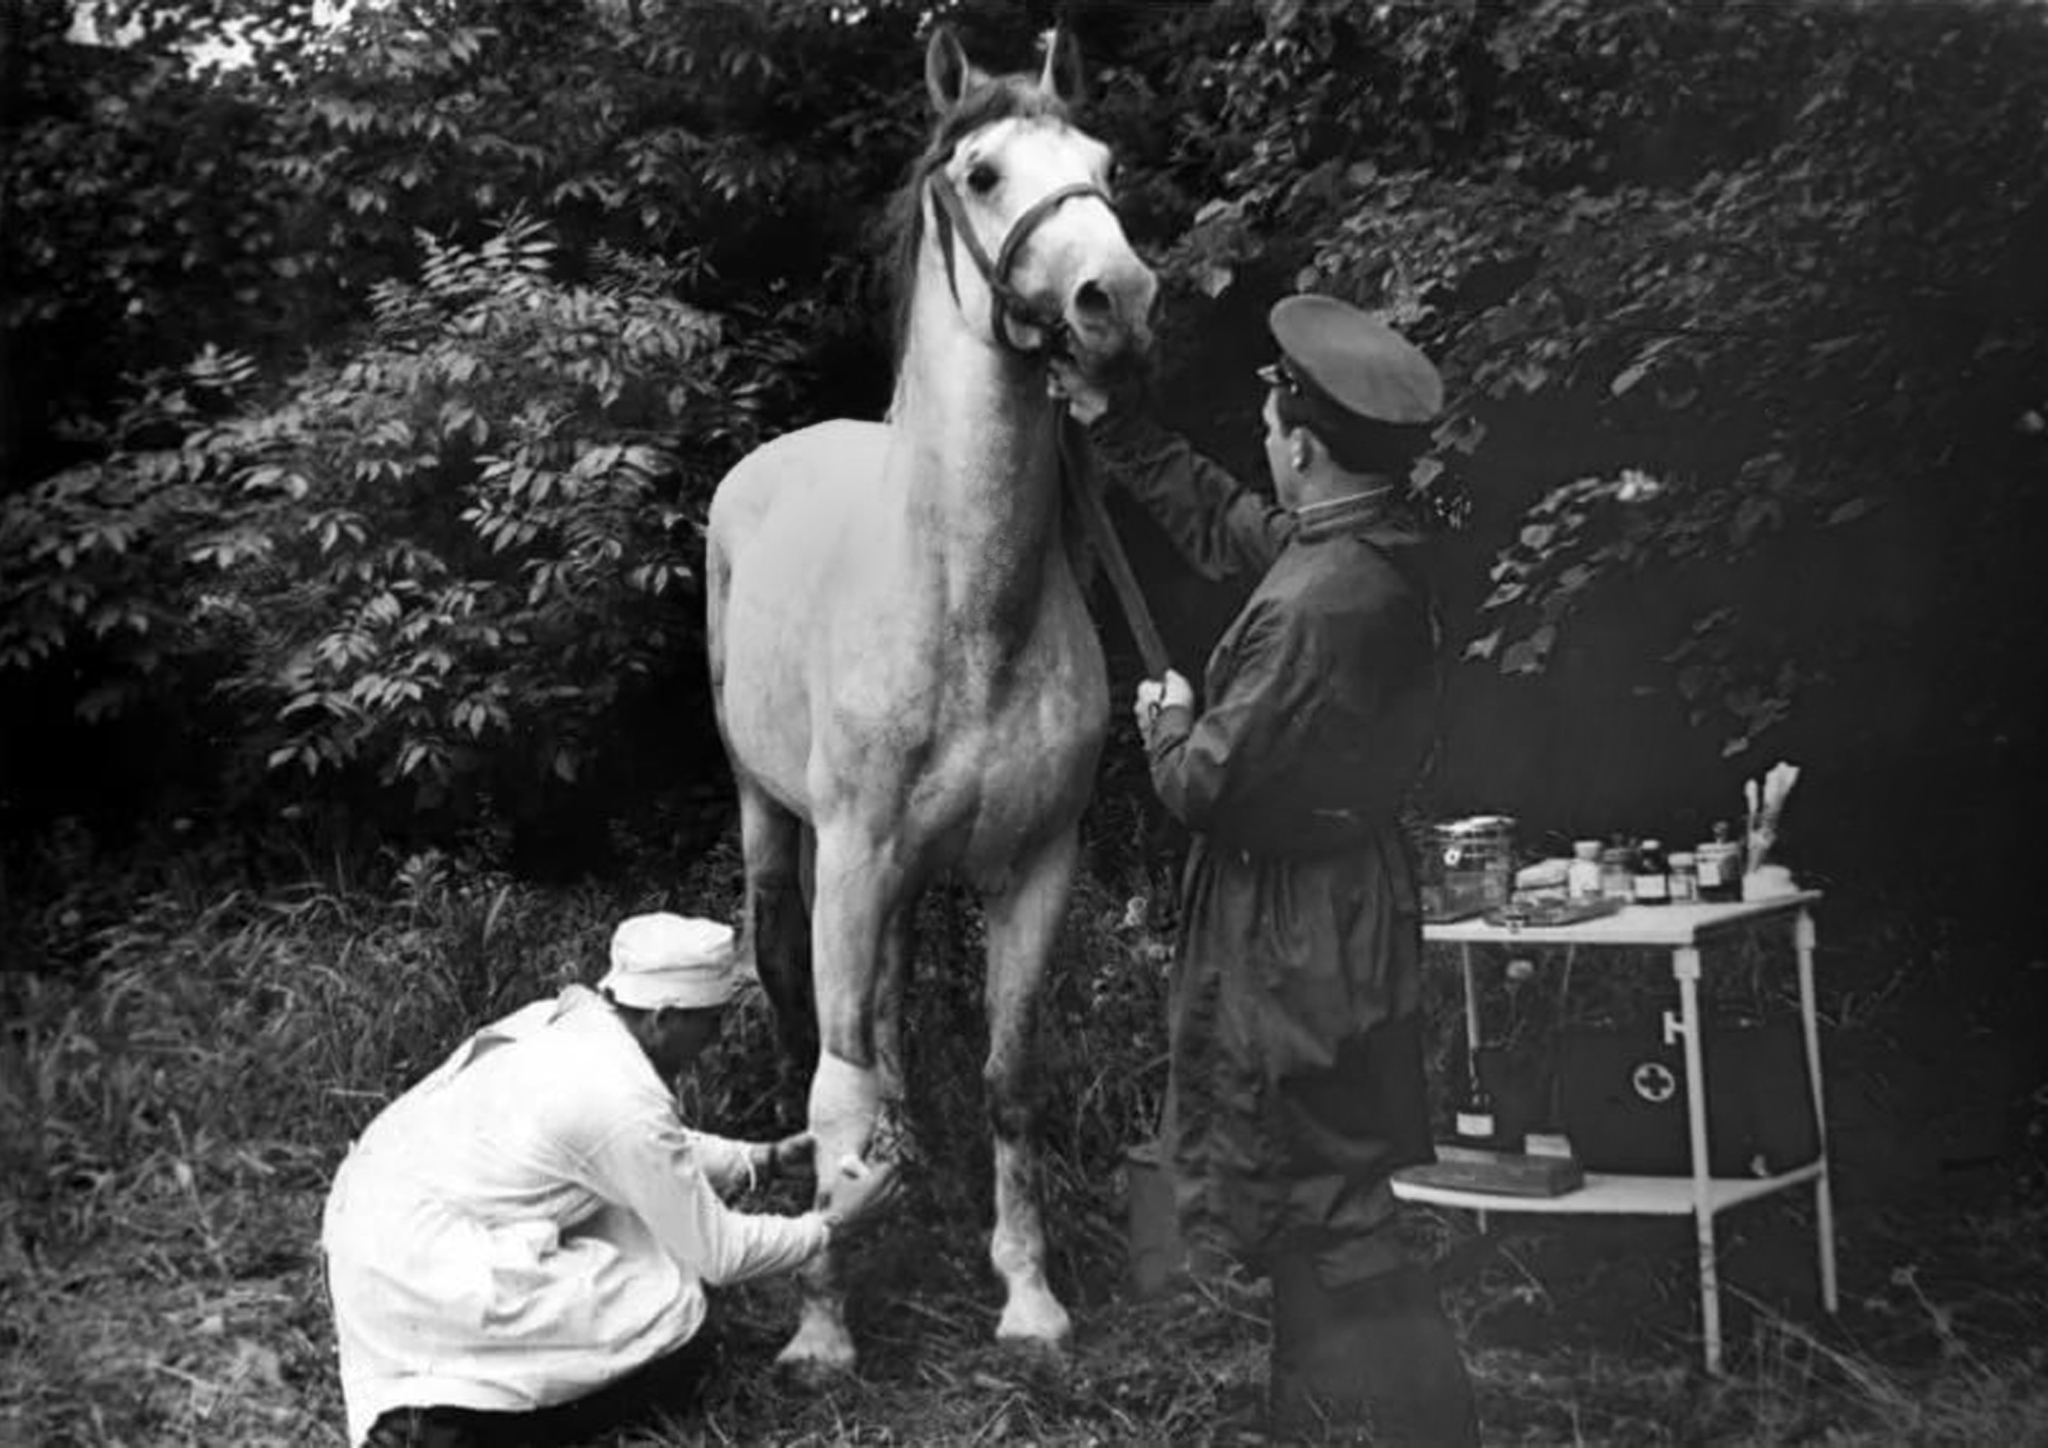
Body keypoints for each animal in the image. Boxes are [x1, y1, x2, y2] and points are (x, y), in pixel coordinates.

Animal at [704, 28, 1155, 1376]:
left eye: (1106, 163)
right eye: (984, 171)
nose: (1119, 303)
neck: (963, 604)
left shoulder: (1034, 865)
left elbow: (1008, 1073)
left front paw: (1028, 1295)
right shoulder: (852, 858)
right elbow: (832, 1083)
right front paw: (820, 1325)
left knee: (887, 1029)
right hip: (777, 829)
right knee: (808, 1023)